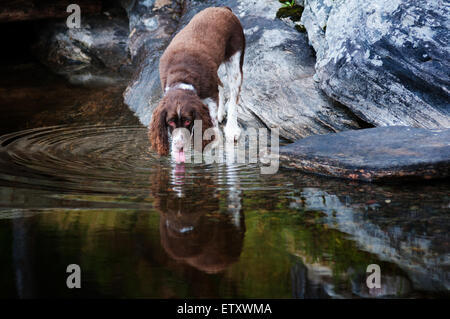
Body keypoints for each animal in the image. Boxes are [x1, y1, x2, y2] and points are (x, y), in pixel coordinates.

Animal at [149, 6, 244, 162]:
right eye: (170, 122)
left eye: (188, 121)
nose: (179, 147)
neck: (181, 78)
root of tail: (223, 8)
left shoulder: (210, 96)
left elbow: (211, 119)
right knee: (221, 85)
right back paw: (221, 113)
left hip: (235, 56)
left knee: (234, 93)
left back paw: (231, 129)